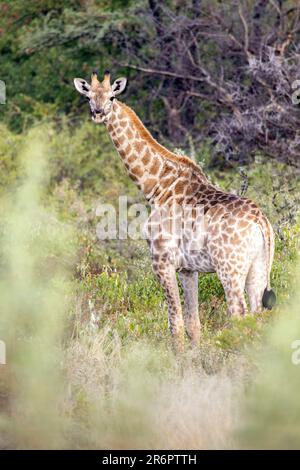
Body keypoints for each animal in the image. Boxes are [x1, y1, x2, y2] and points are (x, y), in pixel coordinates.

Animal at [74, 70, 276, 348]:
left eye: (112, 97)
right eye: (88, 96)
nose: (98, 112)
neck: (156, 186)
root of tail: (262, 223)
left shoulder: (162, 260)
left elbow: (175, 325)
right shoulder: (188, 269)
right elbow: (194, 325)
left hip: (230, 269)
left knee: (240, 317)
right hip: (258, 268)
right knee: (257, 318)